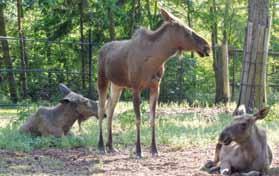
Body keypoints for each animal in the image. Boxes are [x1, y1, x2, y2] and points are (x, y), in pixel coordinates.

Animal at [97, 8, 211, 157]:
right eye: (186, 31)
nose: (207, 46)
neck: (156, 59)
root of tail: (101, 49)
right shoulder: (136, 87)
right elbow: (138, 119)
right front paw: (138, 150)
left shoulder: (155, 86)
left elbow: (153, 119)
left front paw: (154, 149)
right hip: (102, 79)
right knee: (101, 109)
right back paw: (101, 146)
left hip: (117, 84)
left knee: (110, 109)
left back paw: (110, 145)